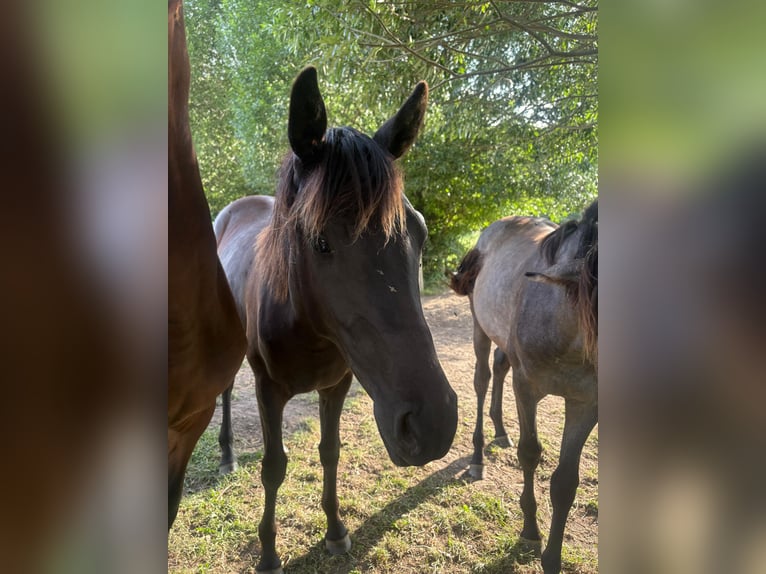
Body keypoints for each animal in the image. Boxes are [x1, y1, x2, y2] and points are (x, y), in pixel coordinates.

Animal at [214, 66, 458, 573]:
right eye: (320, 241)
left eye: (420, 232)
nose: (433, 424)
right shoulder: (268, 390)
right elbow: (274, 467)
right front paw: (269, 553)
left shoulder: (337, 386)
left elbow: (329, 452)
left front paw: (336, 531)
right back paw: (226, 455)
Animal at [450, 200, 597, 574]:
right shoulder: (527, 388)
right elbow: (530, 453)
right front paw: (531, 530)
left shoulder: (587, 404)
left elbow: (565, 481)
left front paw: (553, 558)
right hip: (479, 325)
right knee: (482, 379)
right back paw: (478, 456)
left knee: (500, 366)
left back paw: (501, 430)